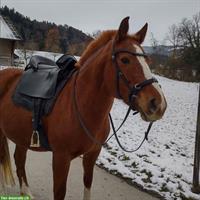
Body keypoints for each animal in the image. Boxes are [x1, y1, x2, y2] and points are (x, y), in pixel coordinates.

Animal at [0, 16, 167, 199]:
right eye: (125, 60)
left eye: (147, 61)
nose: (158, 103)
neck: (81, 105)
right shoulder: (61, 158)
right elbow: (60, 192)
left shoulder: (92, 155)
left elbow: (87, 184)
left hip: (21, 135)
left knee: (19, 159)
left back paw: (26, 192)